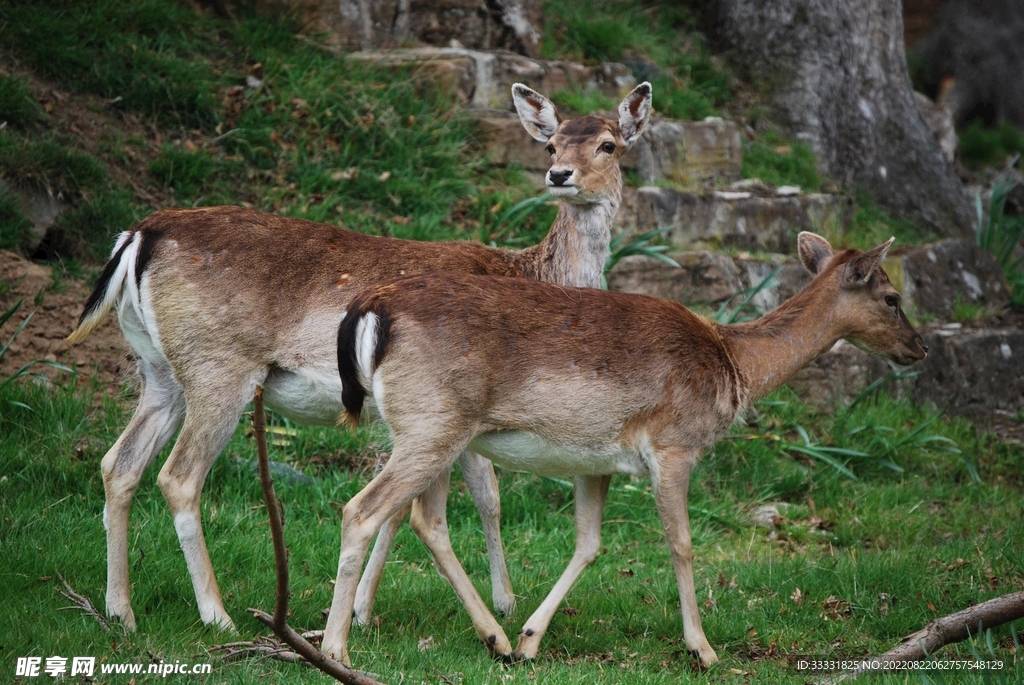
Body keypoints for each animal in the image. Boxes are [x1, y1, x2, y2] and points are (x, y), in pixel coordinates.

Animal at [64, 81, 653, 634]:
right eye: (551, 144)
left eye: (608, 145)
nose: (559, 174)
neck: (533, 274)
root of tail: (138, 236)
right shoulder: (458, 404)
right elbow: (469, 497)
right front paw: (494, 606)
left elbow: (463, 500)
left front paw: (371, 610)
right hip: (219, 366)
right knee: (178, 477)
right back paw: (218, 615)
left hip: (160, 368)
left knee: (119, 463)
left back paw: (120, 610)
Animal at [324, 232, 928, 666]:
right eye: (892, 297)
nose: (919, 347)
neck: (733, 366)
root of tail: (368, 310)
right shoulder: (674, 444)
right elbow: (681, 543)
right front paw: (703, 649)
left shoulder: (596, 461)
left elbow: (589, 544)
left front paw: (531, 640)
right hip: (434, 424)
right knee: (364, 510)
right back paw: (337, 649)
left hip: (431, 430)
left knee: (423, 519)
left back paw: (495, 638)